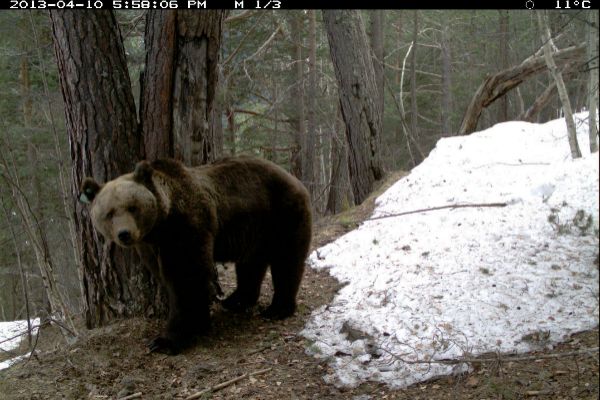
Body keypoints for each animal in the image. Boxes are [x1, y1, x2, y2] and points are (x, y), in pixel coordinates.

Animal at [79, 155, 312, 354]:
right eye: (109, 213)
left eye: (132, 207)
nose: (124, 234)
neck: (160, 226)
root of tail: (293, 178)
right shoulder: (149, 246)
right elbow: (165, 275)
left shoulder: (186, 228)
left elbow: (186, 279)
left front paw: (167, 340)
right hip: (255, 229)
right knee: (250, 265)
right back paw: (236, 300)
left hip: (282, 214)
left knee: (286, 261)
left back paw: (278, 308)